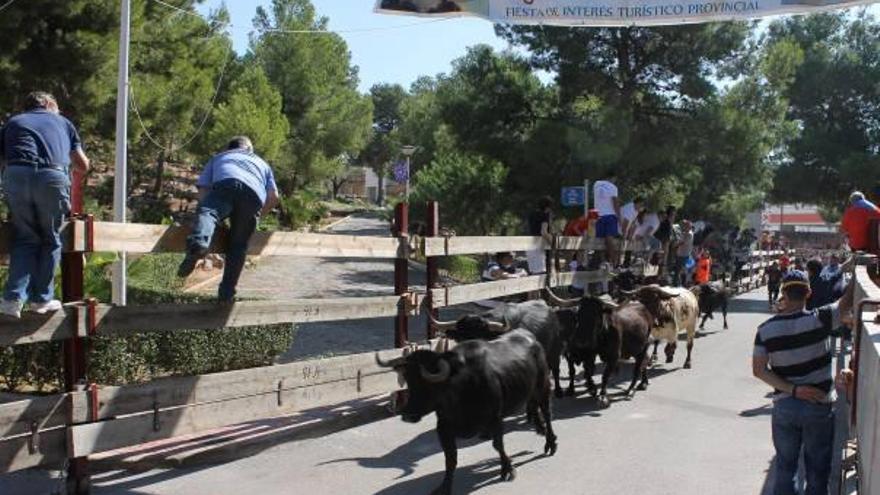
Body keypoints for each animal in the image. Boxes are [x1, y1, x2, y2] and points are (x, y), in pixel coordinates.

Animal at [372, 330, 552, 495]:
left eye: (427, 384)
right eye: (409, 381)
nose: (407, 415)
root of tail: (530, 337)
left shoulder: (495, 419)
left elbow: (498, 445)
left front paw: (507, 469)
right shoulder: (443, 427)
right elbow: (450, 458)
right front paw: (444, 487)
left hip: (543, 386)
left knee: (546, 412)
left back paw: (550, 443)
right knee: (533, 405)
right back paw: (539, 428)